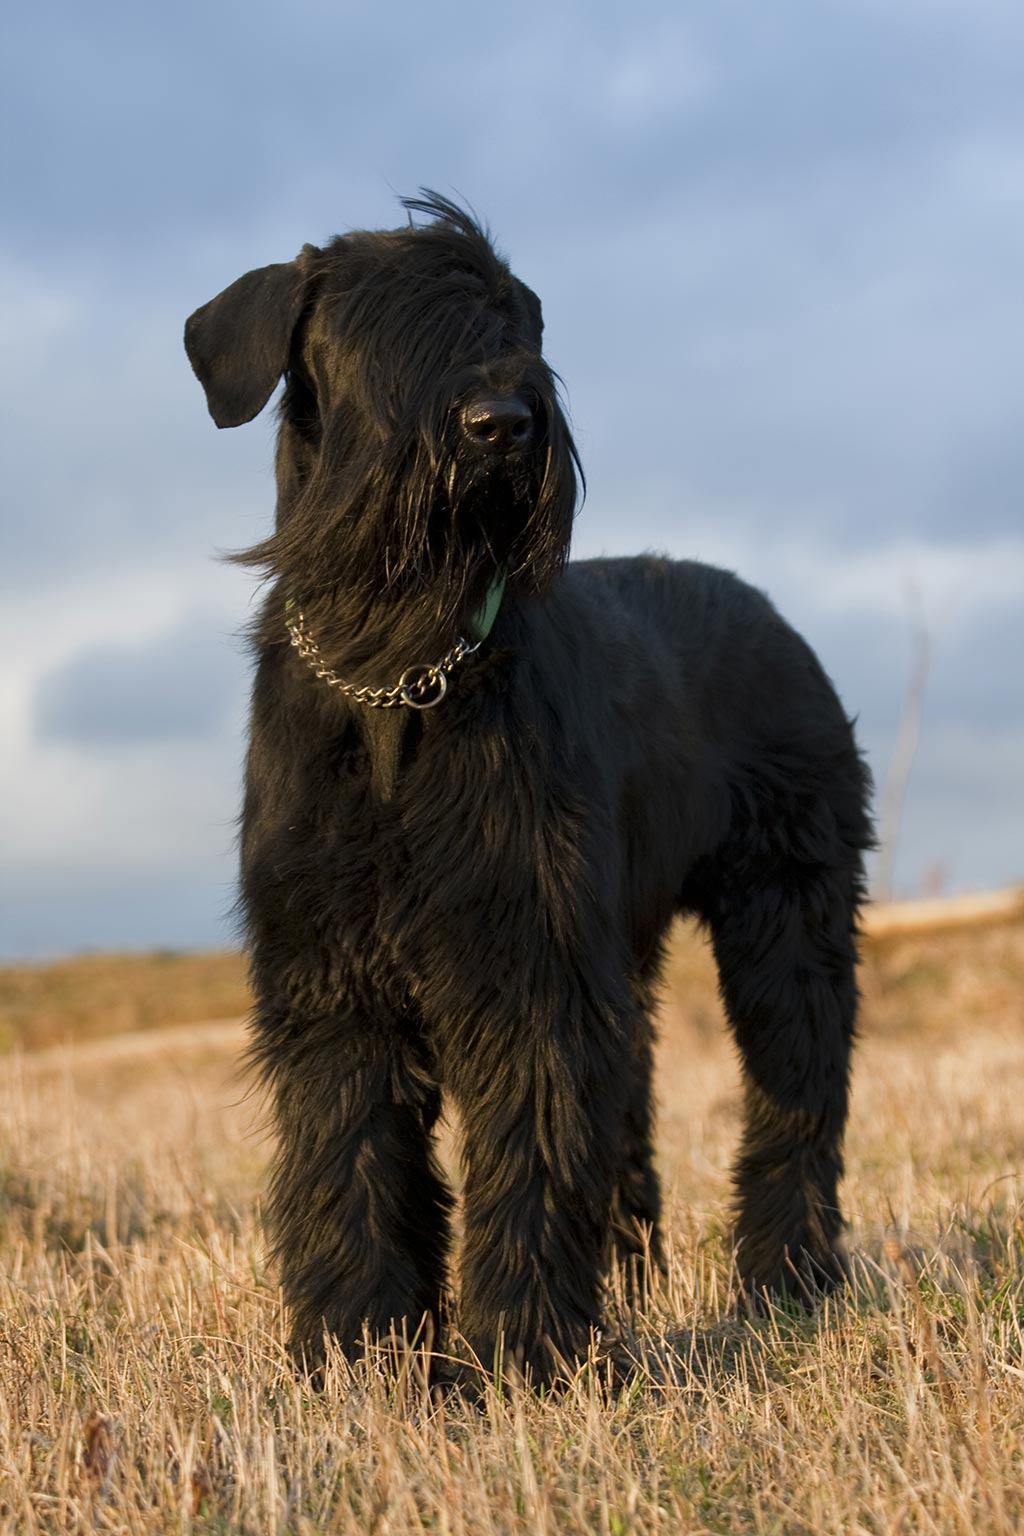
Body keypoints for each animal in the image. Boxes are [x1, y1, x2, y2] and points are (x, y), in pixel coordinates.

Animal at [184, 192, 872, 1382]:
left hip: (788, 923)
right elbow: (349, 1159)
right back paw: (640, 1285)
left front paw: (521, 1353)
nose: (500, 422)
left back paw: (787, 1278)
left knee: (798, 1097)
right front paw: (359, 1351)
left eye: (512, 319)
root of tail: (775, 616)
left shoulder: (530, 959)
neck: (394, 672)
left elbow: (532, 1147)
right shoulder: (330, 975)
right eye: (370, 328)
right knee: (637, 1113)